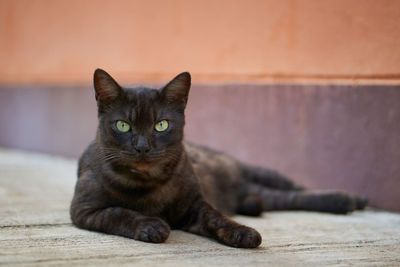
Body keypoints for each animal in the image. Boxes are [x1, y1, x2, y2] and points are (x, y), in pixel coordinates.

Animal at [70, 69, 368, 249]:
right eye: (123, 125)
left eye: (161, 125)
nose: (142, 147)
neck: (148, 184)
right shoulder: (85, 210)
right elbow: (119, 212)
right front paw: (149, 225)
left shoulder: (194, 205)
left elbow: (217, 218)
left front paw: (242, 233)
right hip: (264, 193)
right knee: (286, 199)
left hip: (261, 172)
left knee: (296, 189)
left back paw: (352, 199)